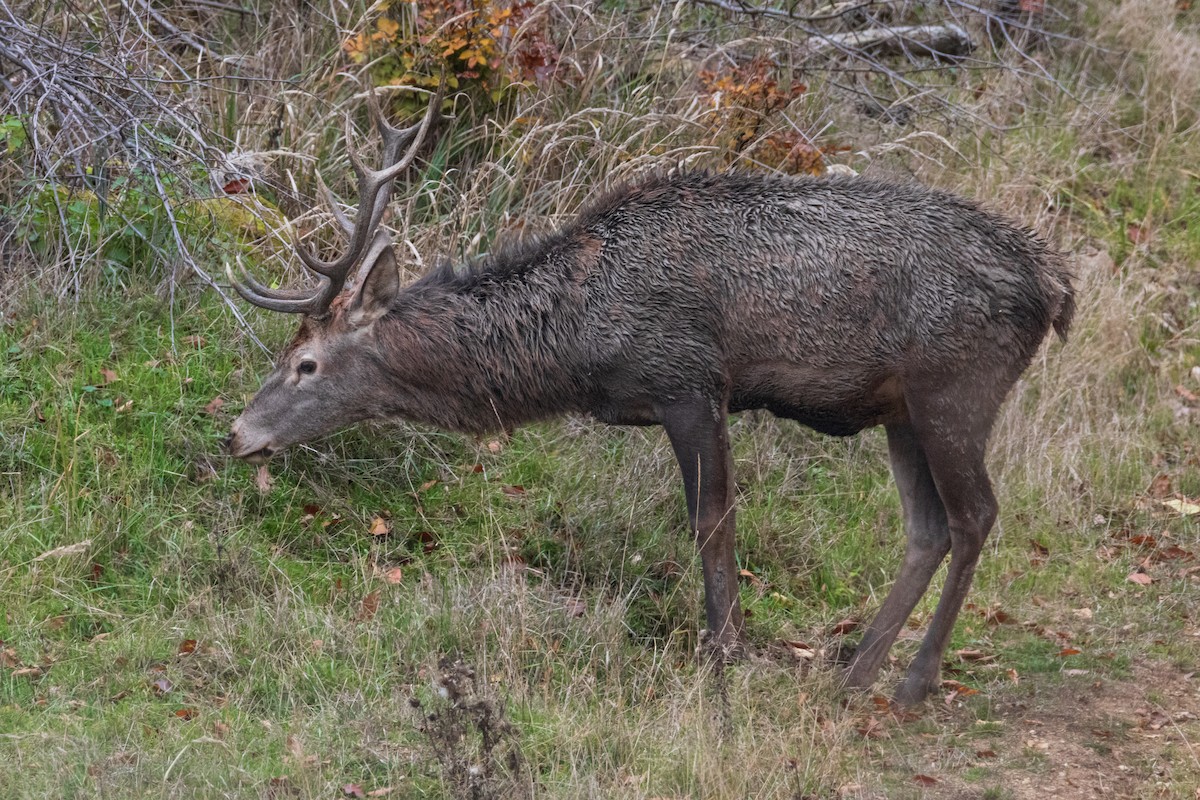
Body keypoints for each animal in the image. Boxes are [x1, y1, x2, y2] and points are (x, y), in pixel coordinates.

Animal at [225, 84, 1075, 706]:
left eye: (306, 364)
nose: (237, 434)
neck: (580, 342)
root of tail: (1055, 286)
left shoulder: (691, 378)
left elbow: (712, 519)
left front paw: (723, 656)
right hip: (902, 409)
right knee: (926, 527)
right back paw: (856, 669)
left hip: (956, 388)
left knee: (975, 516)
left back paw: (912, 681)